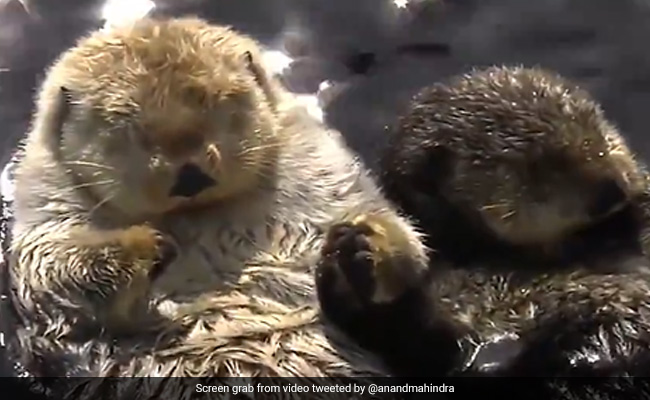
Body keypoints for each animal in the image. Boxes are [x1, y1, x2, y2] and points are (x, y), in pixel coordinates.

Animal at [4, 16, 430, 398]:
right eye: (128, 127)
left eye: (218, 102)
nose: (190, 173)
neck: (198, 219)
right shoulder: (47, 211)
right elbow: (54, 271)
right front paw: (146, 245)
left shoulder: (323, 171)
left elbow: (399, 242)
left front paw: (362, 246)